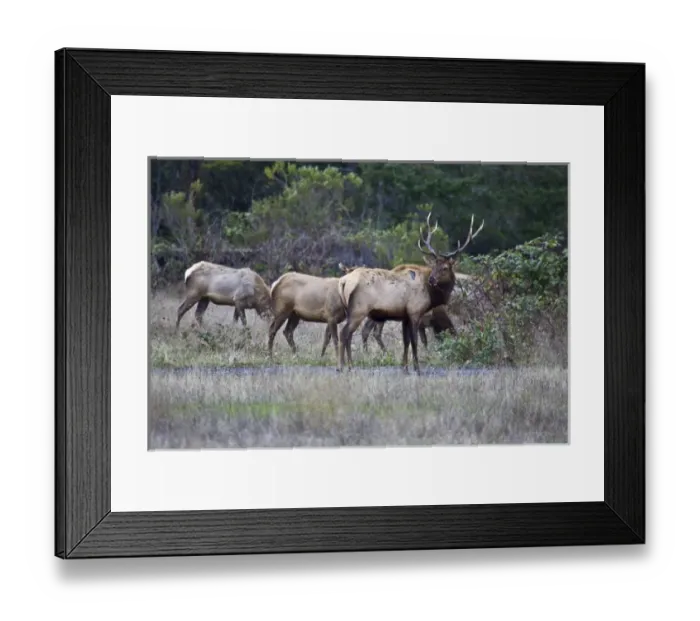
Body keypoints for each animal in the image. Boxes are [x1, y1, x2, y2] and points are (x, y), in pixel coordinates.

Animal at [336, 212, 484, 375]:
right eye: (434, 266)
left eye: (445, 268)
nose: (432, 279)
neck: (431, 296)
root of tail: (343, 281)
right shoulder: (415, 312)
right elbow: (414, 341)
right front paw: (417, 369)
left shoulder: (405, 316)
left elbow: (406, 341)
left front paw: (405, 368)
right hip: (359, 310)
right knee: (345, 333)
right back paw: (342, 366)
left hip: (353, 311)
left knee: (349, 334)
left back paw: (350, 366)